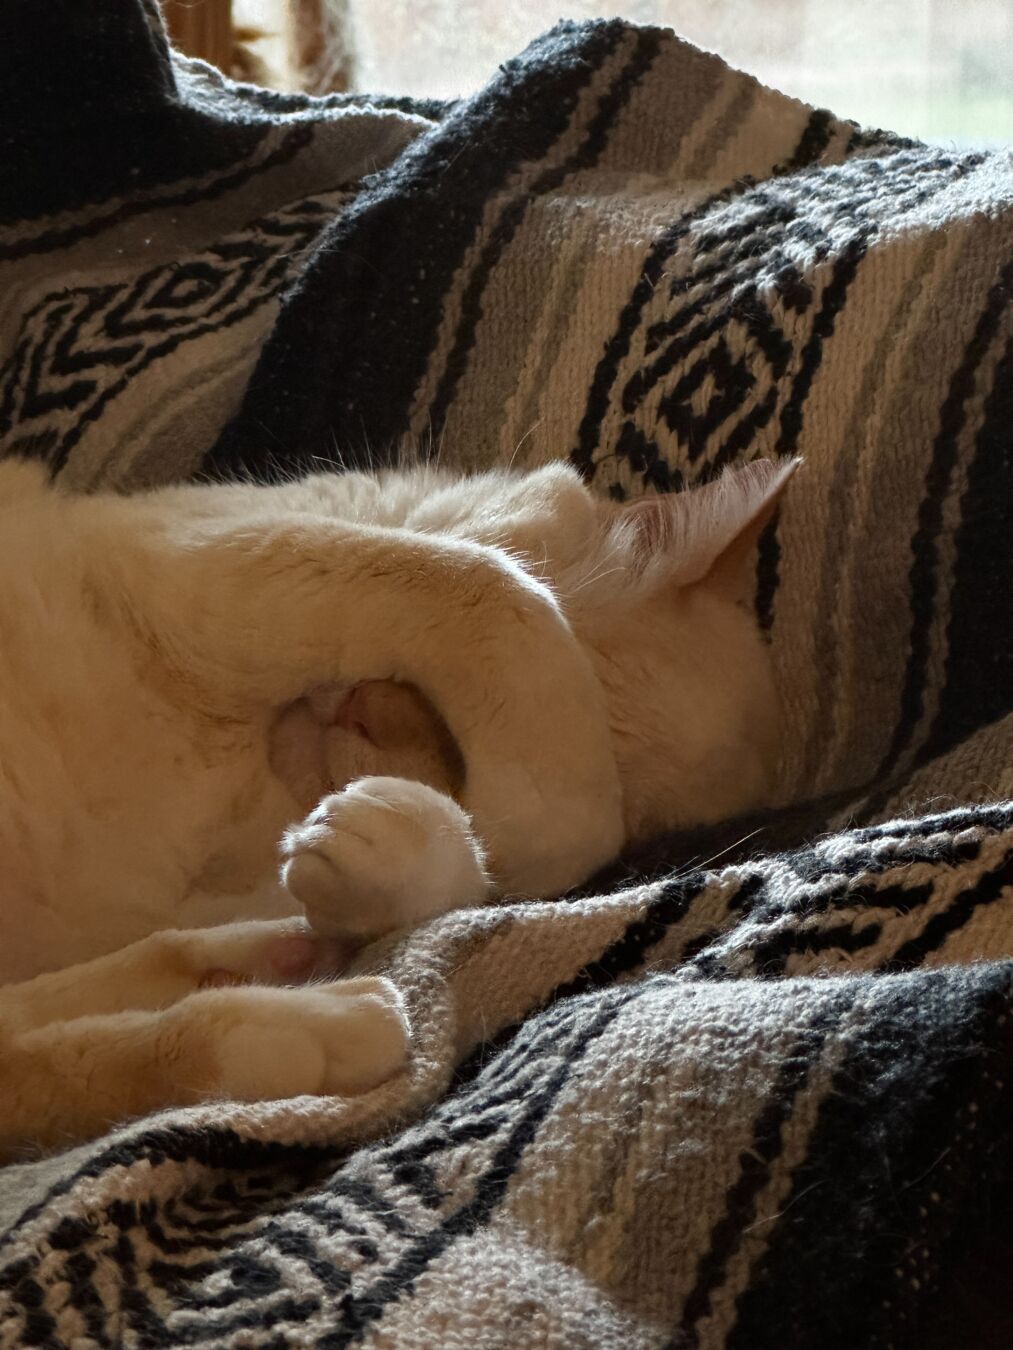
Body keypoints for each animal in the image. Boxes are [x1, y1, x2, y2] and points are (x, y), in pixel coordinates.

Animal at [0, 450, 799, 1150]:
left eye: (451, 758)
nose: (362, 709)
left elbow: (466, 875)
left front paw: (401, 841)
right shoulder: (211, 562)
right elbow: (498, 594)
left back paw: (284, 985)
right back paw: (304, 1016)